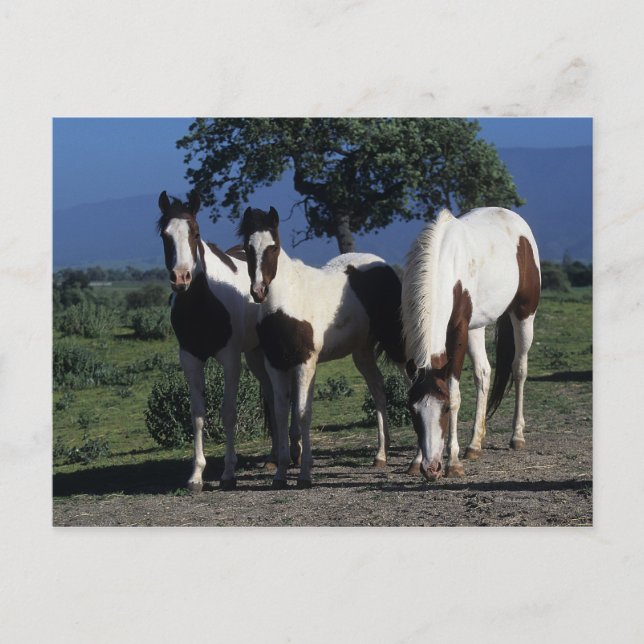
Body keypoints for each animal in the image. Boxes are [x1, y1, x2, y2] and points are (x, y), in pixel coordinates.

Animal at [157, 190, 277, 491]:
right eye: (165, 235)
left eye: (195, 232)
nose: (181, 278)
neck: (204, 304)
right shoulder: (190, 359)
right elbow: (197, 415)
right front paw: (196, 475)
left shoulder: (230, 360)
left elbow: (229, 412)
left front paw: (228, 472)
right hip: (255, 355)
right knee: (272, 396)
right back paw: (274, 457)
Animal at [237, 206, 407, 488]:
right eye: (247, 248)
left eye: (274, 247)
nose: (259, 291)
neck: (285, 302)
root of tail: (382, 266)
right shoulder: (276, 364)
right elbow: (281, 413)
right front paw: (280, 473)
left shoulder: (305, 362)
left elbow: (303, 413)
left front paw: (305, 474)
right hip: (362, 352)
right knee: (378, 389)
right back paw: (381, 455)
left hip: (397, 344)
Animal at [401, 207, 540, 481]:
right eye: (413, 411)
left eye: (445, 409)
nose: (431, 468)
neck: (442, 265)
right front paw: (416, 460)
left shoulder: (458, 331)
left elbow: (455, 393)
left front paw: (453, 462)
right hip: (477, 327)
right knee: (483, 373)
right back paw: (475, 444)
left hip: (524, 315)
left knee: (519, 369)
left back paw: (517, 436)